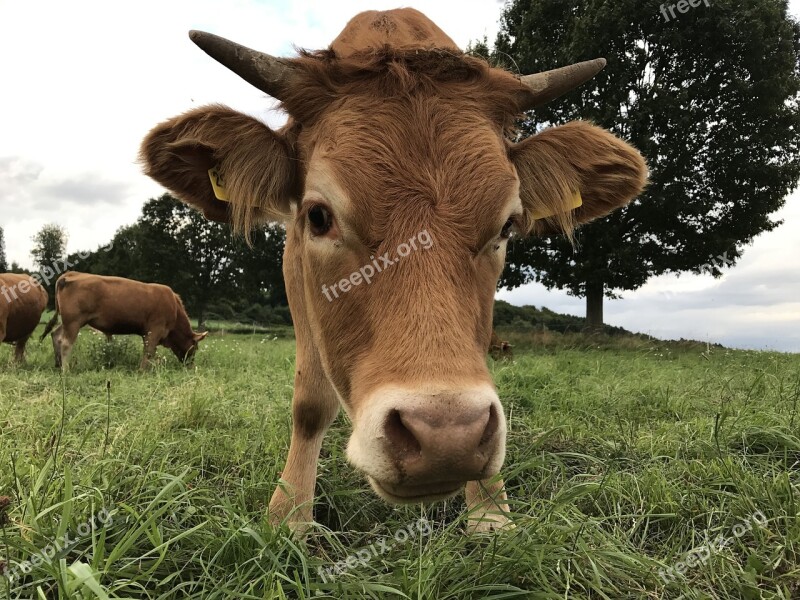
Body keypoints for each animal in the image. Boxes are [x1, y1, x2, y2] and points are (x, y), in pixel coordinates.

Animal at [42, 274, 208, 370]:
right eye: (195, 347)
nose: (191, 366)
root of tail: (70, 275)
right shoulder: (155, 330)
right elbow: (149, 352)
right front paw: (142, 372)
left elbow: (150, 353)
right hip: (74, 321)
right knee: (65, 343)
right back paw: (66, 370)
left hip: (68, 321)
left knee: (56, 335)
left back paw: (58, 364)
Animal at [139, 9, 648, 532]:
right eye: (318, 216)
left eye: (508, 224)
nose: (447, 437)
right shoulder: (294, 268)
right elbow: (310, 404)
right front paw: (288, 516)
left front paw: (491, 513)